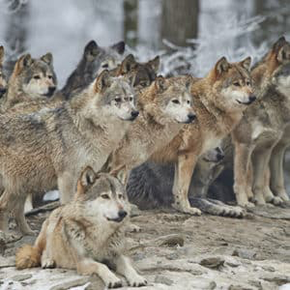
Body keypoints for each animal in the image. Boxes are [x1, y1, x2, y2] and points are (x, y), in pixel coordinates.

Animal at [0, 70, 138, 236]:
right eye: (117, 99)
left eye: (130, 98)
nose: (135, 113)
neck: (86, 125)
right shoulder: (67, 177)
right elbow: (68, 205)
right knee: (5, 206)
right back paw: (6, 235)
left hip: (22, 184)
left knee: (12, 208)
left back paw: (27, 232)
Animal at [15, 167, 147, 288]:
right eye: (105, 196)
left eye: (120, 196)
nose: (123, 213)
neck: (100, 234)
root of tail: (60, 207)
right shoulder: (83, 261)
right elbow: (102, 265)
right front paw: (113, 279)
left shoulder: (118, 255)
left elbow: (128, 267)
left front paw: (137, 278)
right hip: (50, 228)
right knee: (42, 251)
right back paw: (48, 261)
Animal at [144, 56, 254, 215]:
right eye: (236, 84)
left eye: (248, 83)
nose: (253, 96)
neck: (207, 106)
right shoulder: (189, 155)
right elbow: (184, 189)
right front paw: (187, 208)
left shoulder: (180, 156)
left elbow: (178, 190)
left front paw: (180, 207)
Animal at [232, 36, 290, 207]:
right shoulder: (244, 145)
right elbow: (242, 178)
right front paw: (244, 202)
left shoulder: (270, 147)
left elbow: (263, 180)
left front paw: (261, 201)